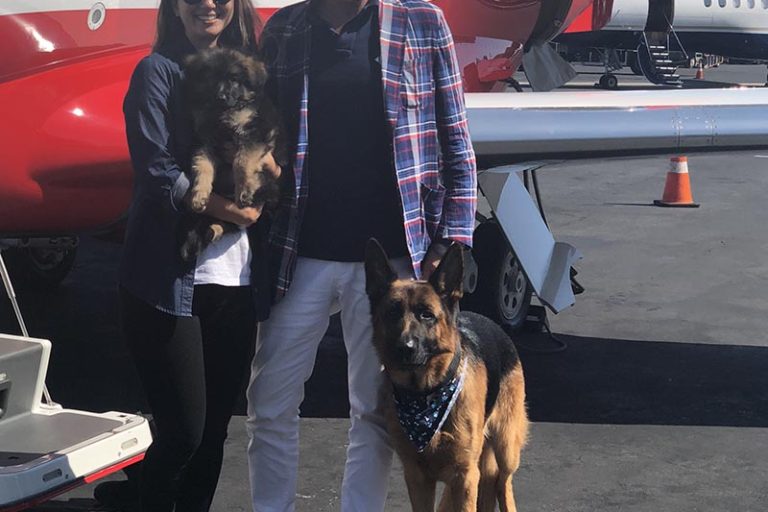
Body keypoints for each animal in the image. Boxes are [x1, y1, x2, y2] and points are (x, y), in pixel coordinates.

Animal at [180, 48, 282, 262]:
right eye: (210, 77)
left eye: (234, 80)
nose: (220, 96)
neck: (222, 113)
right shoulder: (204, 141)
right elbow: (202, 166)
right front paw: (199, 195)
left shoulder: (255, 133)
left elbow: (241, 162)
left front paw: (243, 190)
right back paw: (209, 232)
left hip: (268, 190)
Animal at [366, 241, 528, 512]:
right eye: (392, 313)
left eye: (426, 315)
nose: (405, 348)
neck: (425, 396)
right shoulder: (417, 477)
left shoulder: (465, 475)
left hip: (506, 447)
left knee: (503, 482)